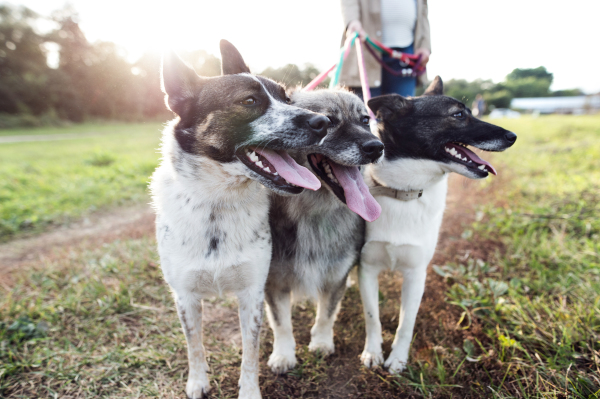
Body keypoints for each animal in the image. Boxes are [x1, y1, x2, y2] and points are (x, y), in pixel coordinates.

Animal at [149, 41, 328, 399]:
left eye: (288, 99)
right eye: (249, 101)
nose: (323, 122)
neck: (218, 204)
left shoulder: (252, 294)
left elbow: (250, 354)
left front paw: (248, 391)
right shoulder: (185, 297)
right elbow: (194, 345)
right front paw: (198, 382)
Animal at [264, 88, 384, 376]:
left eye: (365, 120)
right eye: (327, 122)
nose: (376, 148)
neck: (313, 213)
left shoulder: (334, 275)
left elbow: (326, 313)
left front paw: (320, 342)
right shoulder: (274, 281)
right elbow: (281, 323)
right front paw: (283, 354)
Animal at [356, 76, 516, 374]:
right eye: (458, 115)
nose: (513, 136)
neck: (403, 192)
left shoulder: (416, 274)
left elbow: (406, 324)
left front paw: (397, 359)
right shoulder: (367, 268)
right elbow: (372, 316)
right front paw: (372, 352)